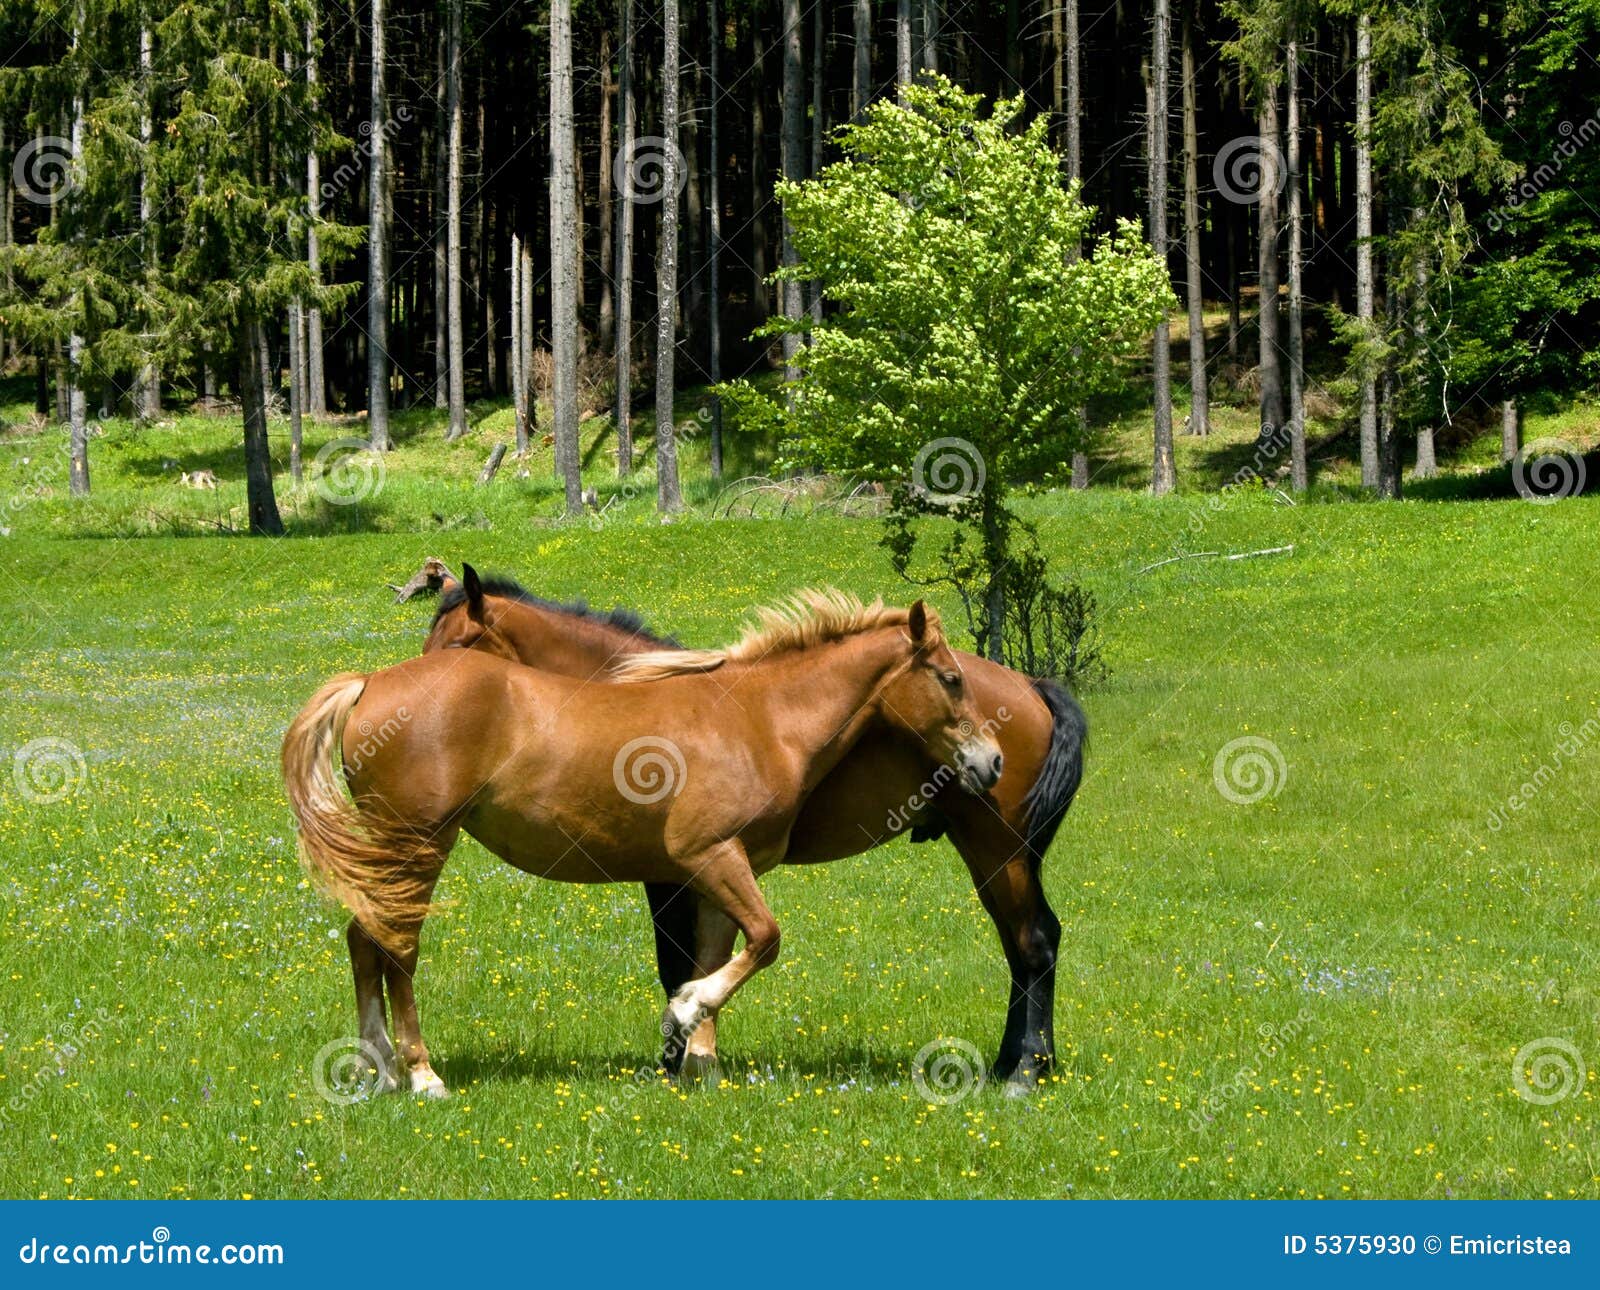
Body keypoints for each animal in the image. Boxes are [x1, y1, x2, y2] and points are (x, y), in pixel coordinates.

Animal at [281, 595, 992, 1101]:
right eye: (951, 679)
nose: (992, 761)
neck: (759, 718)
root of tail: (371, 684)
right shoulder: (709, 857)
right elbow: (762, 941)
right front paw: (687, 1011)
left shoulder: (720, 872)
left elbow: (719, 953)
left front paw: (699, 1062)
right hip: (420, 844)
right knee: (397, 946)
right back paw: (422, 1075)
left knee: (364, 937)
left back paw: (378, 1067)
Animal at [422, 569, 1088, 1088]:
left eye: (455, 646)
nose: (416, 702)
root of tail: (1033, 688)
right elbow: (699, 958)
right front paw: (690, 1055)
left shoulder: (677, 874)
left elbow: (682, 965)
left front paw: (678, 1052)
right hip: (996, 855)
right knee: (1027, 942)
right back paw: (1013, 1064)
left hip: (997, 848)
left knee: (1032, 942)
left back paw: (1024, 1071)